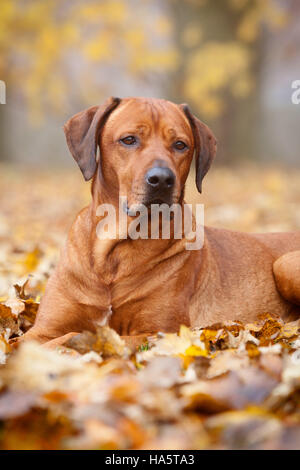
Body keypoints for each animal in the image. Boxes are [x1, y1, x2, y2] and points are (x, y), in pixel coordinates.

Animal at [19, 96, 298, 346]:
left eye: (180, 145)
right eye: (129, 140)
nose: (162, 179)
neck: (113, 253)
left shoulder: (159, 332)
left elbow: (71, 338)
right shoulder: (43, 328)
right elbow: (24, 343)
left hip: (284, 263)